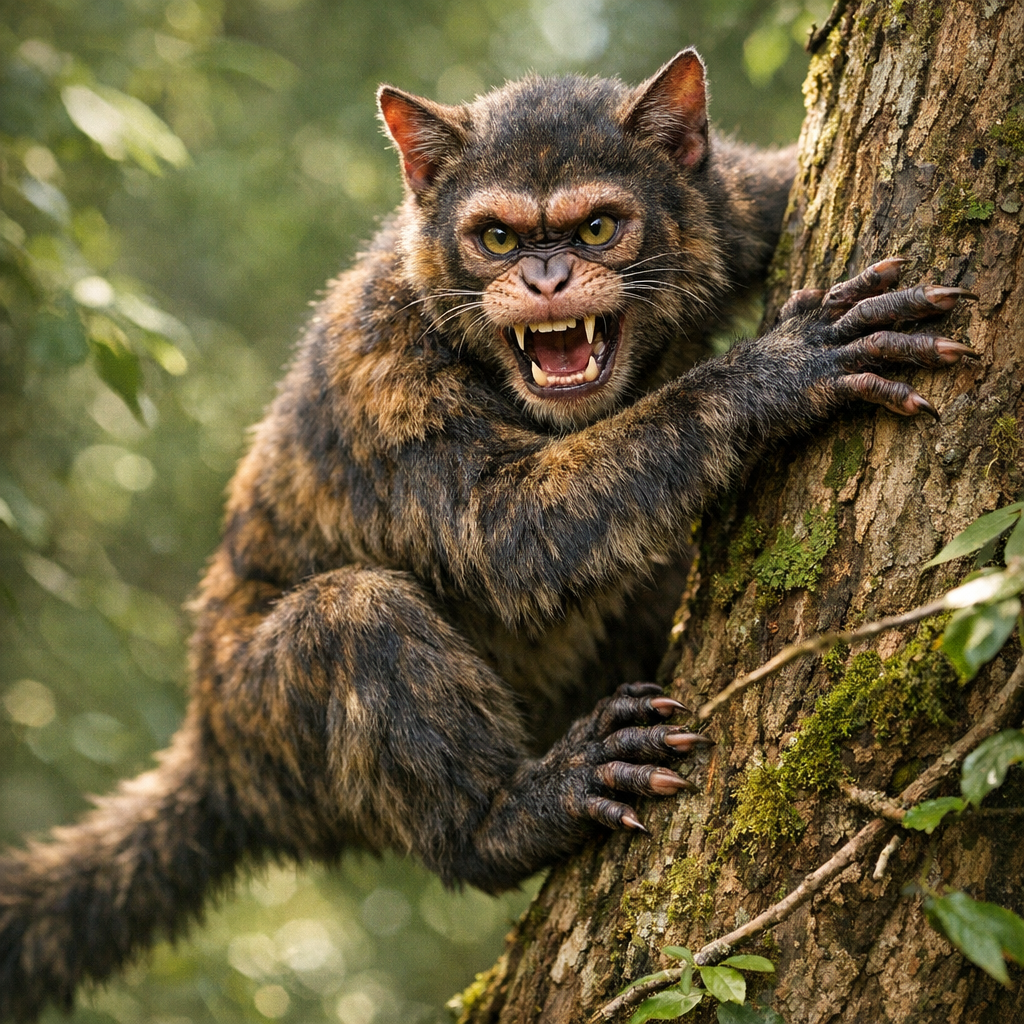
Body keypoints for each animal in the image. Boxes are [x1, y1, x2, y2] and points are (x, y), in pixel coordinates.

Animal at [0, 47, 977, 1020]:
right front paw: (781, 371)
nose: (545, 278)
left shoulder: (737, 206)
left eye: (597, 228)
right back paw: (524, 807)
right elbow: (508, 530)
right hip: (279, 722)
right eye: (498, 240)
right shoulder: (386, 372)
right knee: (355, 623)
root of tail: (211, 752)